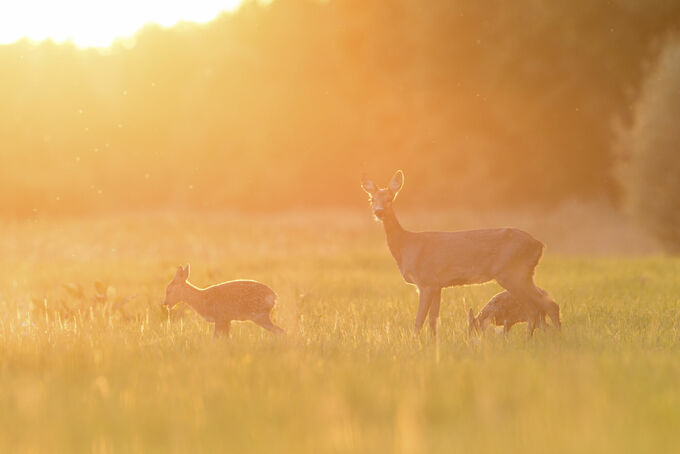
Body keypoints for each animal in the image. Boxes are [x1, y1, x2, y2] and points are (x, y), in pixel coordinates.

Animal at [358, 170, 560, 336]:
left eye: (390, 198)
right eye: (372, 199)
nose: (379, 212)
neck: (406, 246)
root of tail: (539, 245)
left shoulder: (425, 281)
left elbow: (419, 321)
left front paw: (415, 344)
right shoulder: (437, 285)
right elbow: (433, 321)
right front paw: (433, 345)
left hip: (511, 273)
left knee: (540, 307)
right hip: (525, 274)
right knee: (546, 305)